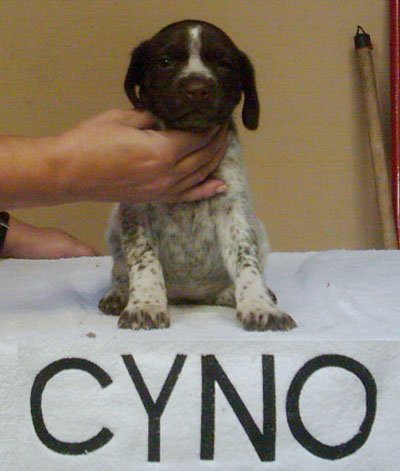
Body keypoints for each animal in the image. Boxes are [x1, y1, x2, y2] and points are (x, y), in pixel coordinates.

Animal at [98, 20, 297, 331]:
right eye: (165, 62)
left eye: (224, 64)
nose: (197, 89)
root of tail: (190, 296)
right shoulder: (135, 211)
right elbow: (144, 260)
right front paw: (146, 304)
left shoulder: (233, 212)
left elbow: (246, 260)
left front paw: (259, 305)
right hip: (114, 227)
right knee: (120, 270)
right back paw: (119, 294)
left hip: (260, 231)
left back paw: (235, 293)